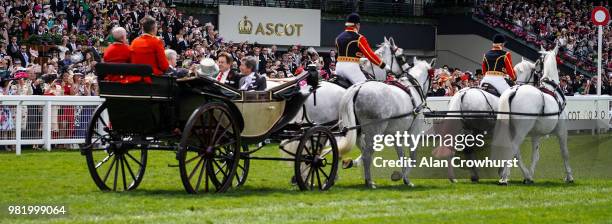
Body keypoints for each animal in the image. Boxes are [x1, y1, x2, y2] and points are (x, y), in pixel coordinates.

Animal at [340, 57, 436, 187]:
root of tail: (359, 87)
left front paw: (405, 178)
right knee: (367, 155)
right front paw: (404, 177)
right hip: (374, 132)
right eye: (433, 75)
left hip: (359, 132)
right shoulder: (414, 131)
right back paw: (369, 182)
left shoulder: (396, 135)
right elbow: (413, 155)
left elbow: (401, 155)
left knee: (365, 151)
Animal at [498, 46, 572, 186]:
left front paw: (530, 175)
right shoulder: (562, 129)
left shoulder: (535, 134)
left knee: (515, 152)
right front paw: (569, 176)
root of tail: (514, 90)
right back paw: (504, 178)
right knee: (513, 148)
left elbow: (535, 155)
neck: (551, 88)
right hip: (521, 131)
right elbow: (565, 152)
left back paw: (521, 175)